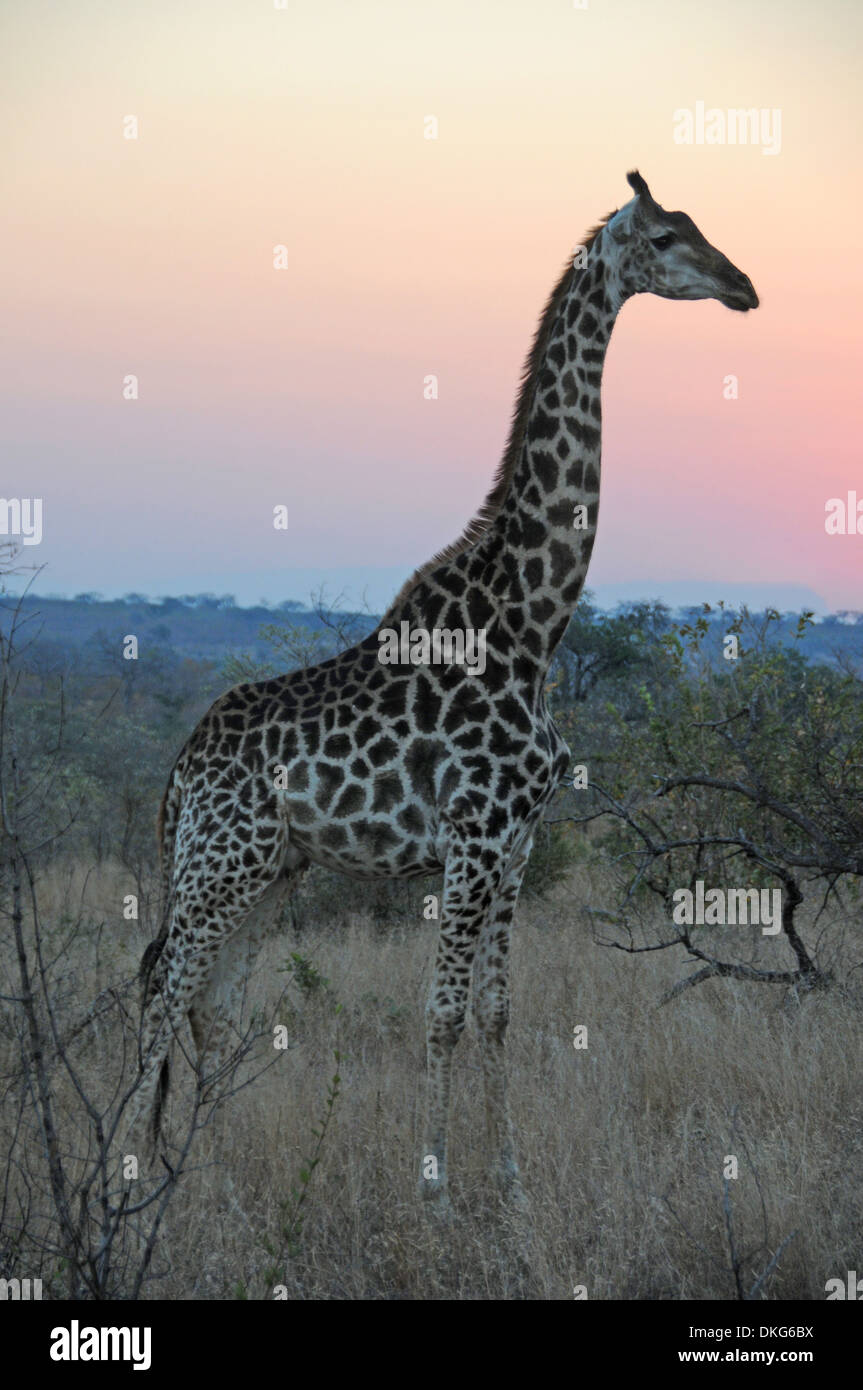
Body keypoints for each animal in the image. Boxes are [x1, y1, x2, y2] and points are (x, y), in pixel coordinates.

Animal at [129, 171, 757, 1214]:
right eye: (670, 236)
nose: (743, 285)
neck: (532, 626)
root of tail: (179, 770)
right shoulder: (472, 838)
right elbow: (442, 1013)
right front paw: (433, 1191)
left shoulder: (518, 843)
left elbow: (499, 1012)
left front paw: (509, 1184)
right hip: (219, 866)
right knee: (158, 991)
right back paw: (126, 1180)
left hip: (270, 871)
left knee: (213, 1006)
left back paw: (205, 1183)